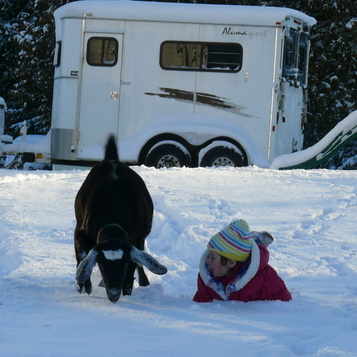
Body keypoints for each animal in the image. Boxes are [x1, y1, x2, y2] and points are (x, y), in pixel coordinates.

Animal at [75, 135, 167, 302]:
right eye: (101, 263)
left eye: (123, 263)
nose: (113, 294)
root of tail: (112, 161)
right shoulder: (80, 232)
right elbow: (82, 256)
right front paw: (84, 286)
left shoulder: (135, 240)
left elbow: (134, 265)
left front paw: (127, 291)